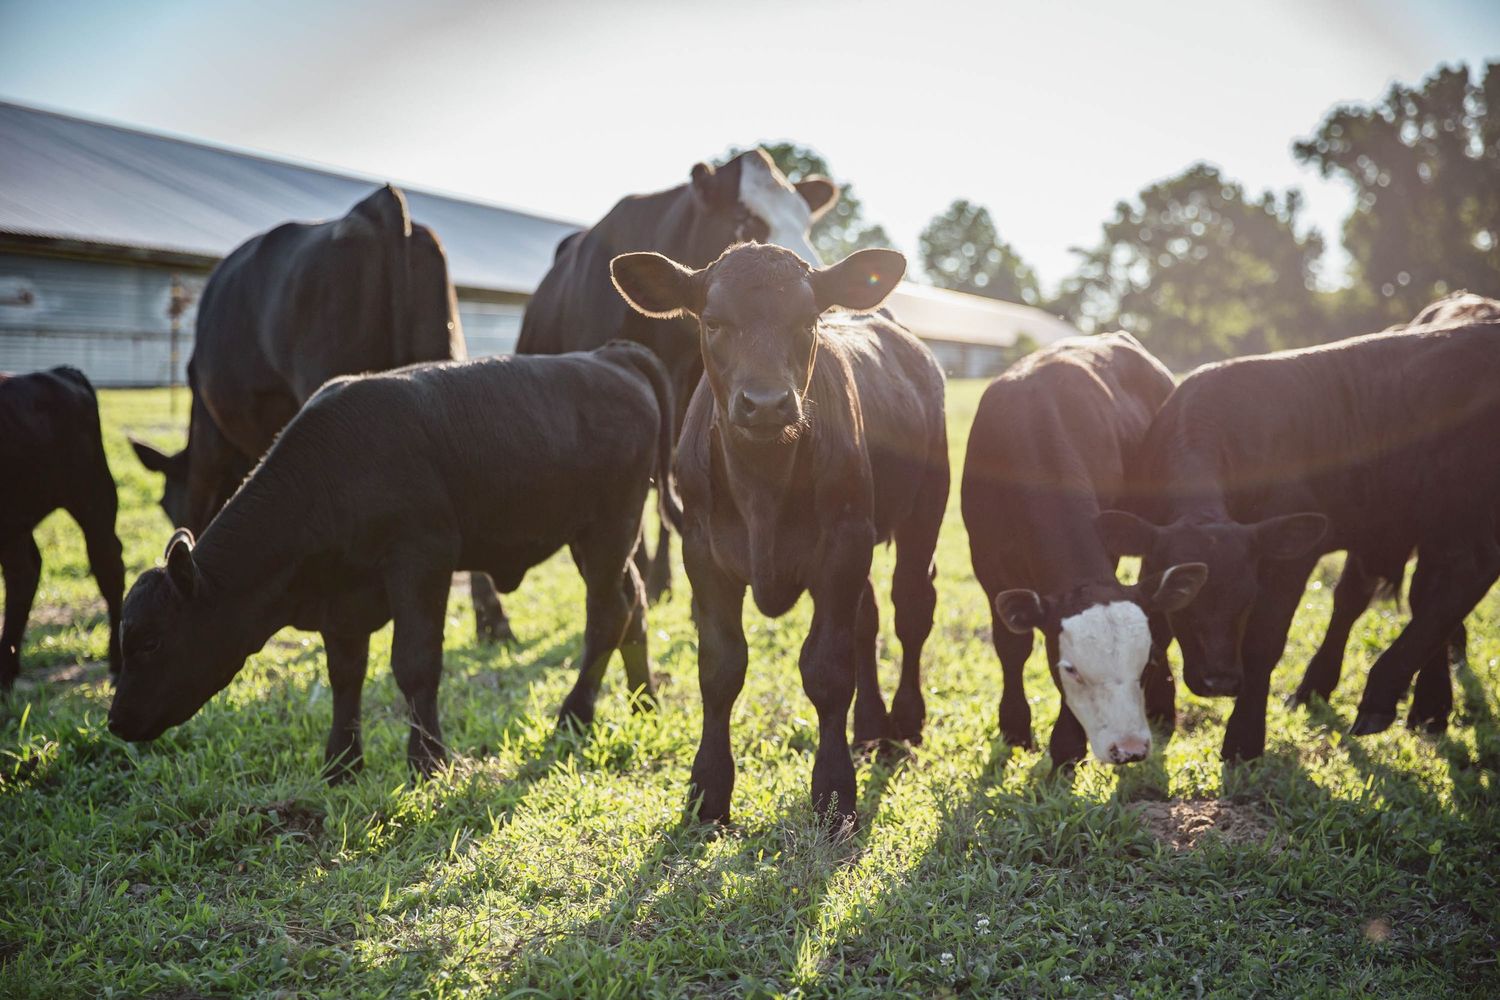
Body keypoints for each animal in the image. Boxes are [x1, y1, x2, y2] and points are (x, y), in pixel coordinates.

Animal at [1, 367, 124, 690]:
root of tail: (57, 372)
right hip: (16, 523)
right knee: (25, 572)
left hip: (93, 497)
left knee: (109, 567)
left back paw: (117, 663)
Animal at [108, 342, 680, 781]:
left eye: (150, 641)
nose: (115, 723)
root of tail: (608, 356)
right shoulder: (342, 598)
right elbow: (345, 674)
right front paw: (340, 764)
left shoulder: (422, 558)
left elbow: (414, 663)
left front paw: (428, 760)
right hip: (594, 539)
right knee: (634, 603)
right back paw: (644, 700)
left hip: (610, 527)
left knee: (607, 615)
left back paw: (574, 716)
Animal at [610, 242, 949, 828]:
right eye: (714, 322)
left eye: (807, 321)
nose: (766, 402)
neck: (762, 486)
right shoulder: (702, 552)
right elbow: (721, 667)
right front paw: (708, 791)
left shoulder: (842, 546)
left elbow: (827, 669)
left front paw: (834, 793)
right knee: (868, 621)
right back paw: (870, 727)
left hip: (923, 511)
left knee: (910, 610)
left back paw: (904, 722)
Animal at [961, 334, 1207, 768]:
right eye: (1071, 670)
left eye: (1146, 662)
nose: (1130, 749)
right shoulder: (989, 568)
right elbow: (1012, 647)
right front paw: (1015, 727)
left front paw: (1066, 745)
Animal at [1100, 315, 1500, 762]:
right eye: (1183, 606)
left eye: (1248, 598)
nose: (1219, 681)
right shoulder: (1154, 552)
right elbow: (1153, 627)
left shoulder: (1289, 561)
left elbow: (1264, 642)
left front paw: (1243, 740)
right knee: (1427, 590)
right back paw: (1423, 708)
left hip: (1462, 506)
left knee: (1466, 574)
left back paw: (1379, 696)